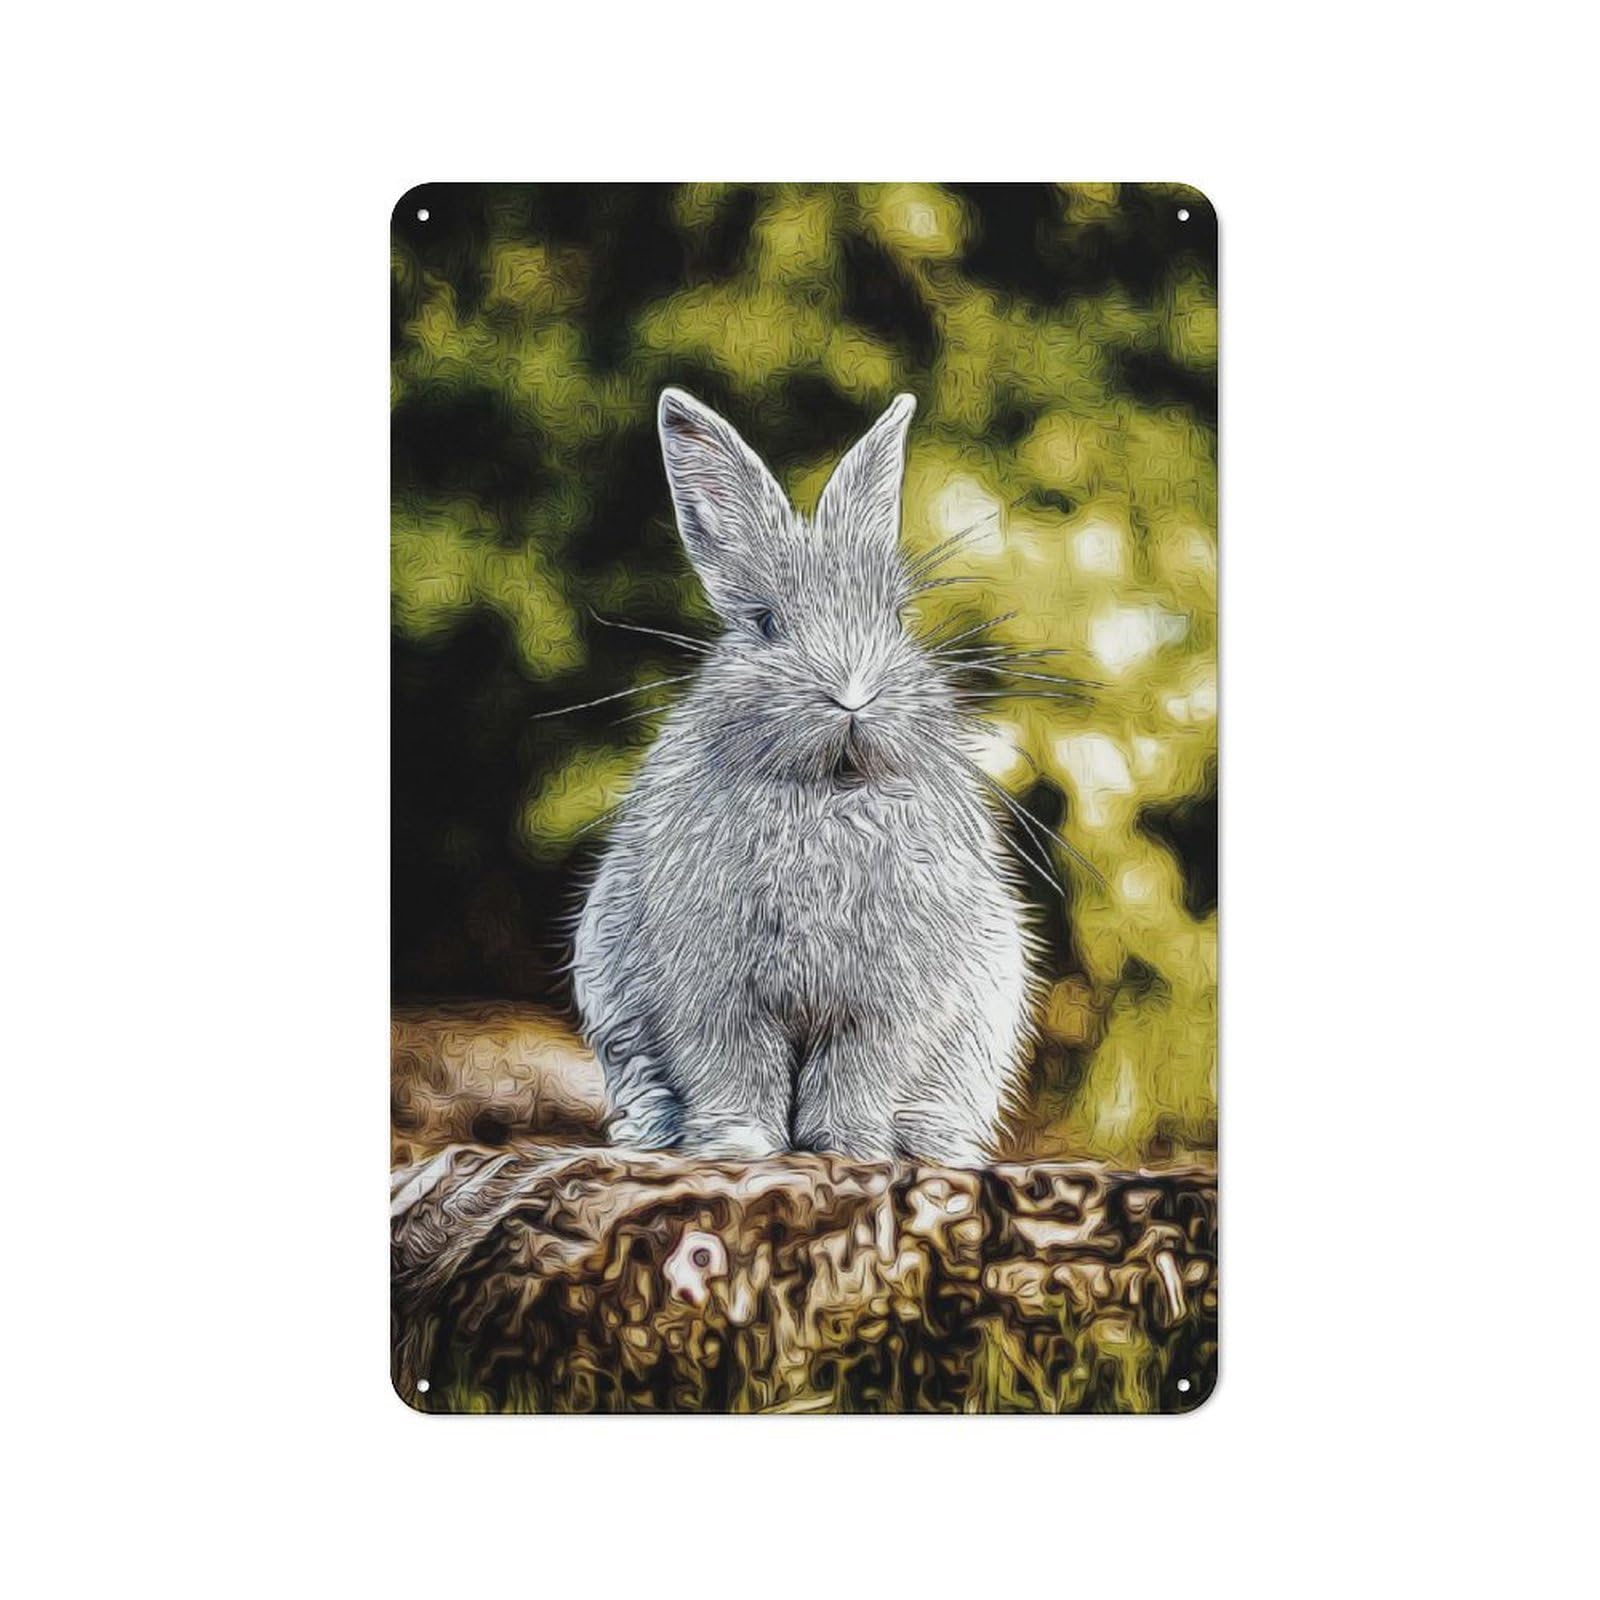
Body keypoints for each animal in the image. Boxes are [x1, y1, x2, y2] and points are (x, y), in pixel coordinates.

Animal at [571, 387, 1040, 1166]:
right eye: (764, 623)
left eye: (897, 617)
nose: (852, 693)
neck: (829, 794)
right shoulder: (714, 992)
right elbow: (732, 1068)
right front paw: (737, 1147)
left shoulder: (887, 1004)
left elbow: (856, 1074)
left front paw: (847, 1150)